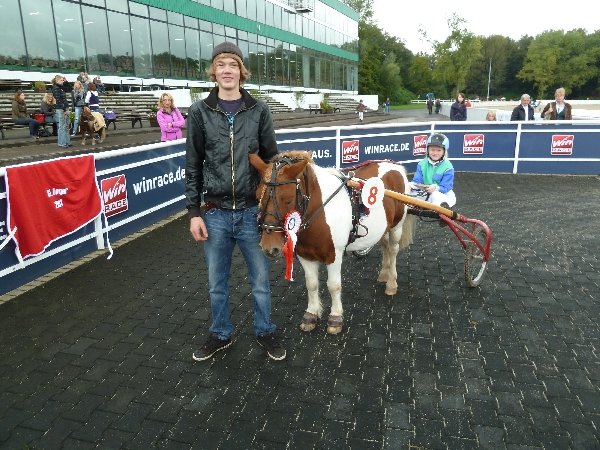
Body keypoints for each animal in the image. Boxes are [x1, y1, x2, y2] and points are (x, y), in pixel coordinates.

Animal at [249, 151, 415, 334]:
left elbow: (333, 285)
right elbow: (311, 284)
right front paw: (311, 314)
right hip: (384, 227)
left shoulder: (334, 255)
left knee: (392, 250)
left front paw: (335, 318)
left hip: (396, 227)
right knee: (385, 246)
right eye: (257, 196)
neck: (320, 212)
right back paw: (384, 275)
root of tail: (395, 166)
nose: (269, 247)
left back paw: (391, 283)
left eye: (287, 198)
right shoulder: (305, 256)